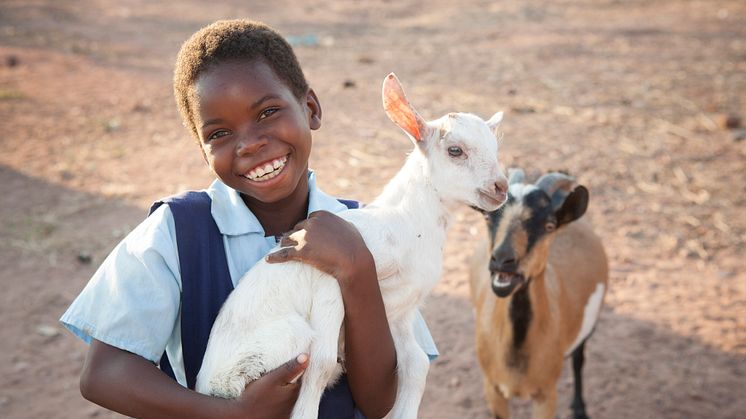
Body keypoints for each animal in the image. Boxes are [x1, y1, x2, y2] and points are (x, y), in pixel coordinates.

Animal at [468, 171, 608, 419]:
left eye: (549, 225)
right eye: (487, 218)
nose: (502, 259)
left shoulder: (546, 393)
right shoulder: (492, 388)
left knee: (579, 360)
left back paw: (579, 409)